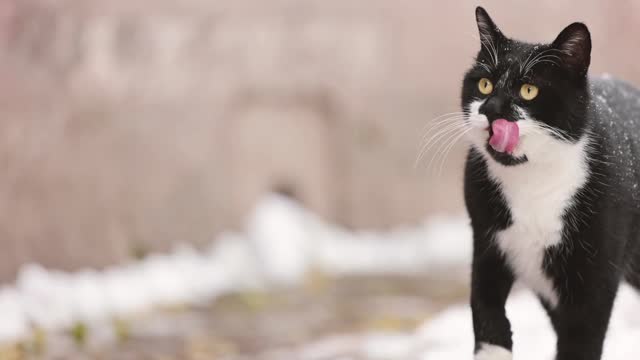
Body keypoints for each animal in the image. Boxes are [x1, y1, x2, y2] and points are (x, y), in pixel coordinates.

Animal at [462, 5, 640, 360]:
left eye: (529, 90)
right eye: (485, 84)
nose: (491, 109)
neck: (531, 181)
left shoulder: (594, 278)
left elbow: (581, 340)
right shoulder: (486, 238)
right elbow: (485, 306)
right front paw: (493, 349)